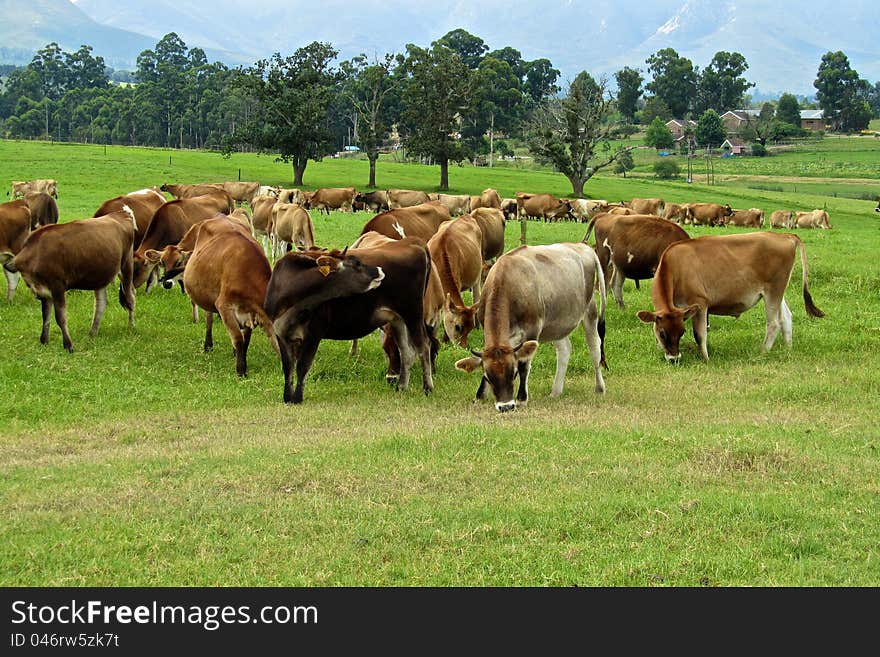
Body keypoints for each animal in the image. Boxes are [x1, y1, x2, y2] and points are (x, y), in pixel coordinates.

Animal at [266, 233, 434, 402]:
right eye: (357, 264)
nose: (380, 270)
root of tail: (412, 242)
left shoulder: (314, 333)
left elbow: (302, 365)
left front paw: (297, 398)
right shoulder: (281, 334)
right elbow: (288, 367)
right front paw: (287, 397)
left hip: (412, 313)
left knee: (423, 346)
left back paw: (428, 387)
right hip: (397, 318)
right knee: (406, 351)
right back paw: (401, 387)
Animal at [450, 243, 608, 412]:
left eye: (514, 374)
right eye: (487, 377)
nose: (506, 406)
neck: (507, 282)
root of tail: (582, 246)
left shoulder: (532, 330)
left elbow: (524, 364)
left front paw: (521, 398)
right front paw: (480, 395)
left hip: (590, 311)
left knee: (595, 349)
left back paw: (599, 387)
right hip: (556, 323)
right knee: (565, 349)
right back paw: (556, 391)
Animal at [636, 232, 820, 364]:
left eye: (682, 332)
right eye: (662, 333)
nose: (674, 359)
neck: (675, 266)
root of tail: (785, 235)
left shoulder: (700, 302)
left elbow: (699, 334)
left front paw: (706, 359)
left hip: (773, 290)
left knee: (774, 323)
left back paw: (762, 352)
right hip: (778, 291)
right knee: (786, 317)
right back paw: (788, 349)